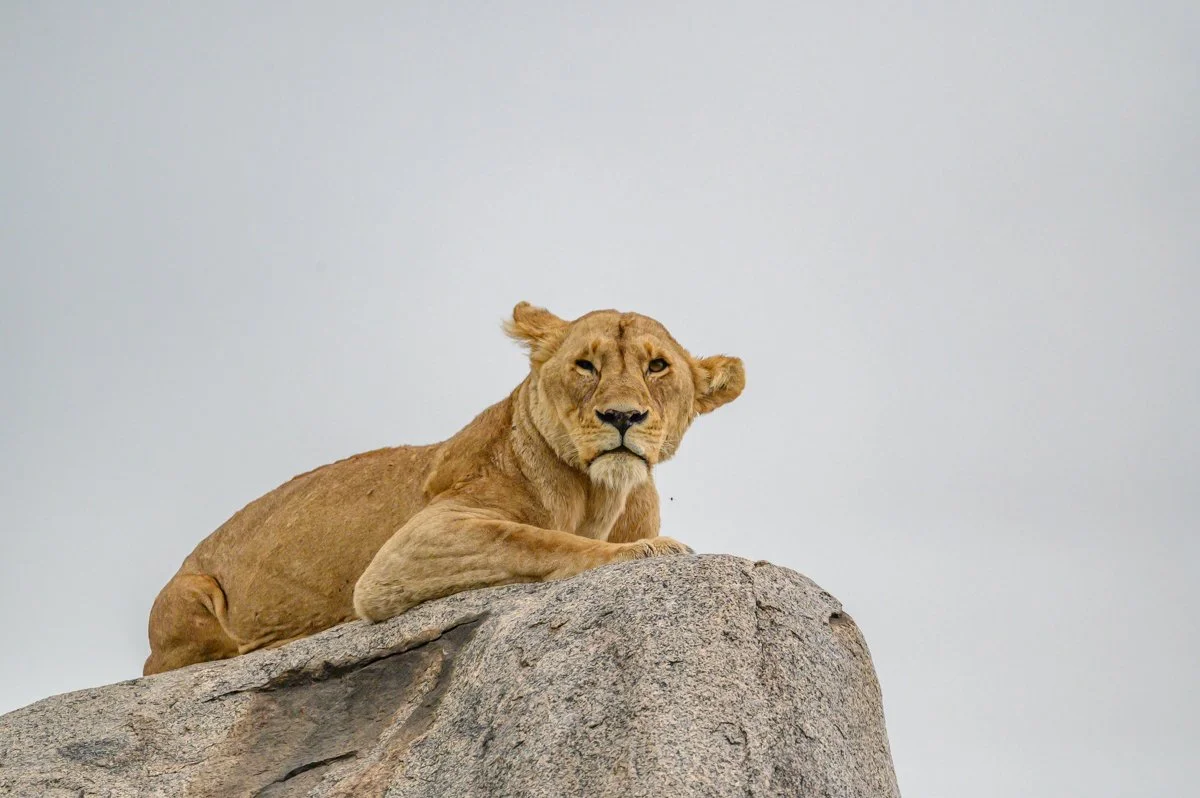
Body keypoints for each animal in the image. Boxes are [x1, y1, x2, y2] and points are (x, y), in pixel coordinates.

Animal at [143, 303, 745, 675]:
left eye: (658, 366)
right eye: (585, 365)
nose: (622, 416)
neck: (601, 495)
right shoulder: (407, 550)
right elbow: (536, 539)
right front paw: (645, 551)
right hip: (191, 594)